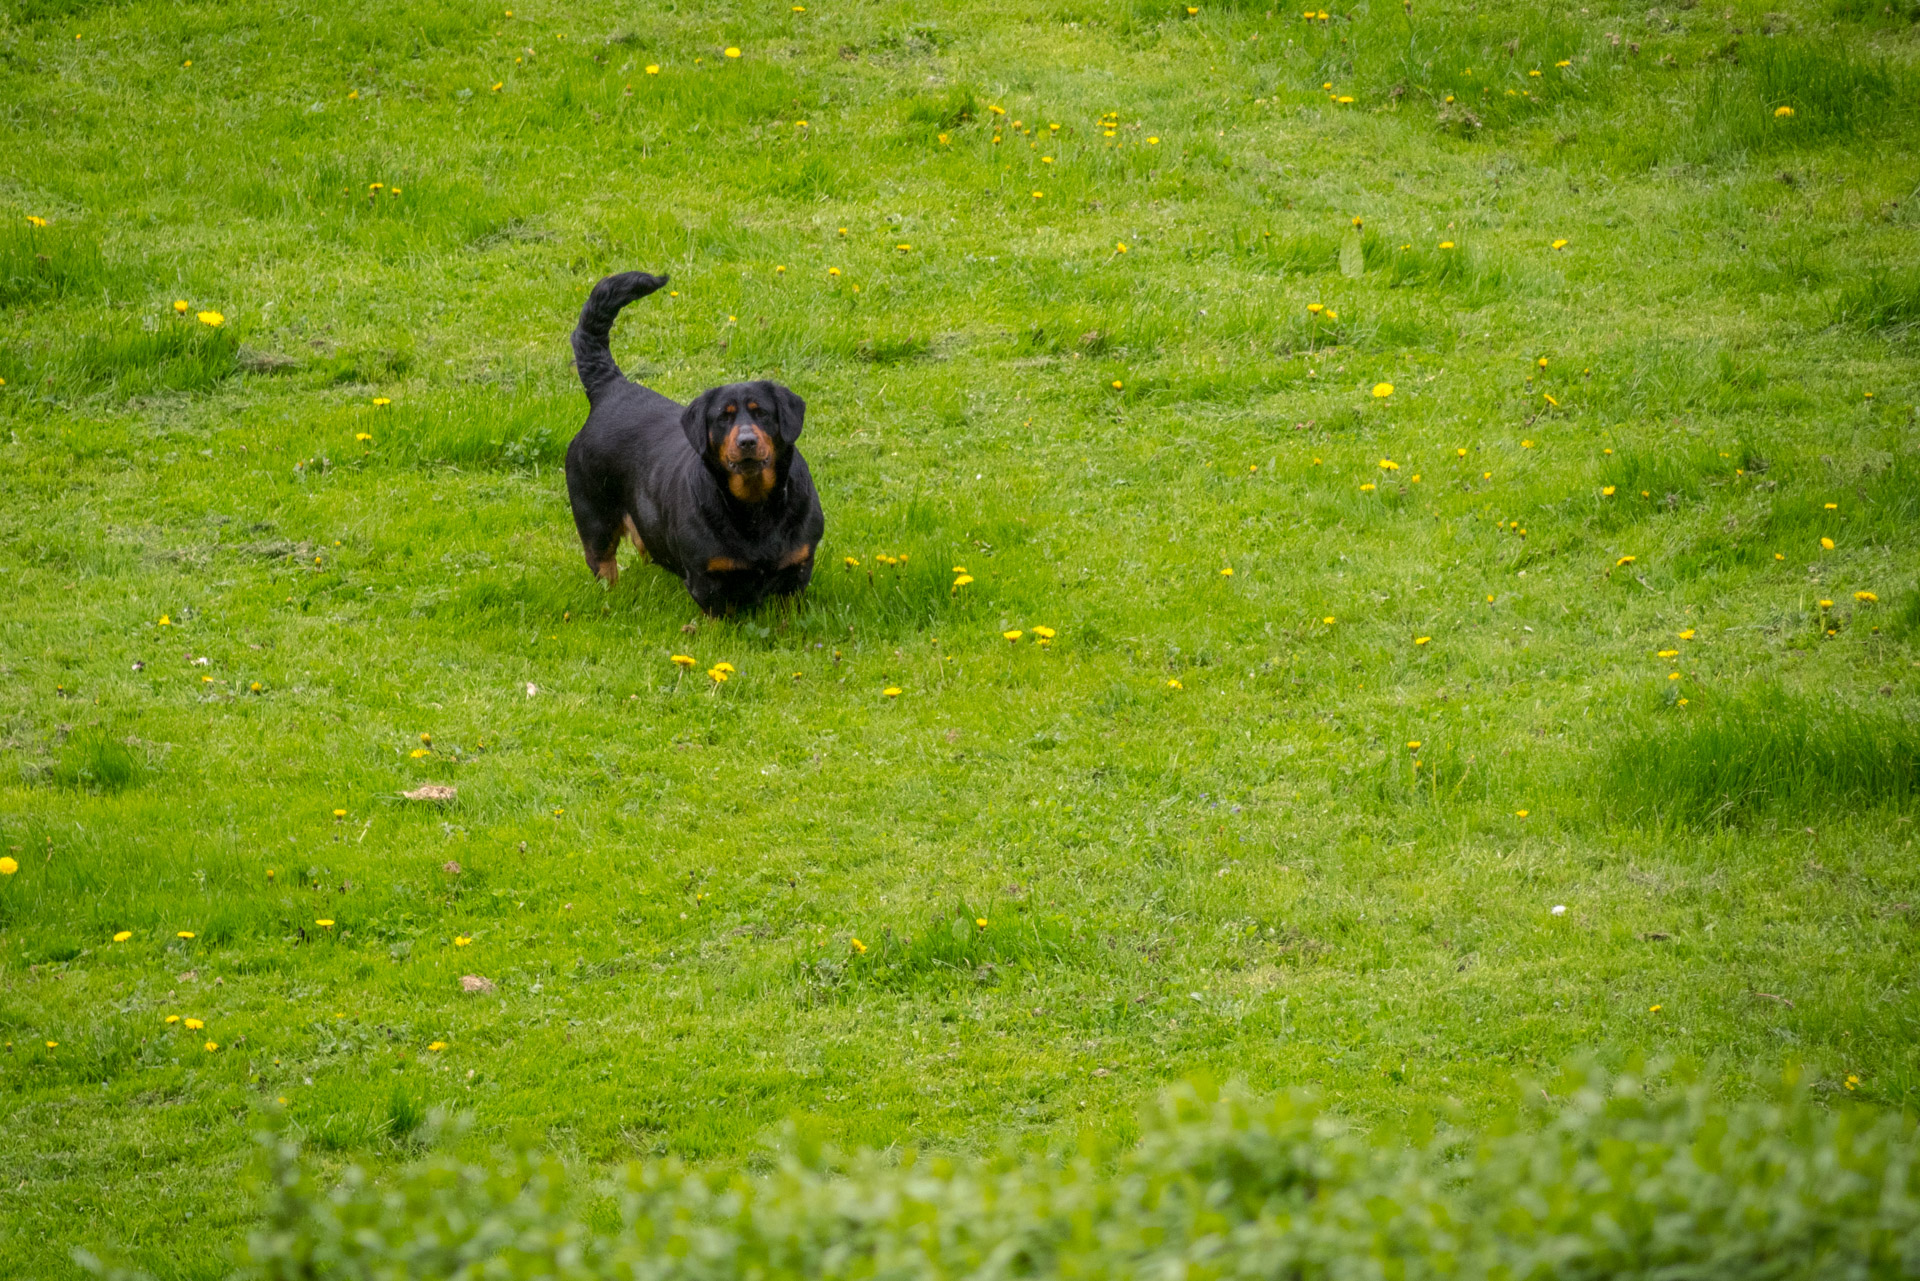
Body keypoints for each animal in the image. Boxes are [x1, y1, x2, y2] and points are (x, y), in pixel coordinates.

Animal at [560, 270, 821, 614]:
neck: (754, 508)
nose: (747, 441)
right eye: (722, 418)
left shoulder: (797, 571)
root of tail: (611, 389)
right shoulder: (707, 580)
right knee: (603, 562)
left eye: (762, 413)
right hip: (594, 517)